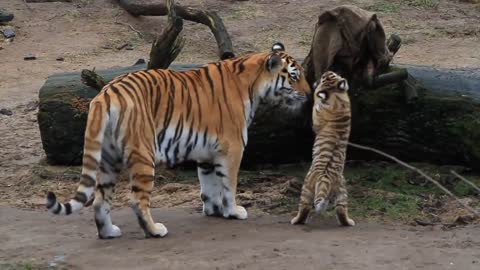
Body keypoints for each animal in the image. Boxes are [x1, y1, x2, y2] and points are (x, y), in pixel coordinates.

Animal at [47, 43, 312, 239]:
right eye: (294, 77)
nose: (309, 94)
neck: (252, 83)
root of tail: (104, 94)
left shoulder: (207, 152)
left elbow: (209, 185)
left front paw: (214, 210)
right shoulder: (233, 147)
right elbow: (229, 185)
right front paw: (233, 211)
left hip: (107, 158)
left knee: (100, 200)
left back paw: (109, 232)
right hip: (143, 153)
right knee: (136, 200)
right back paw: (155, 231)